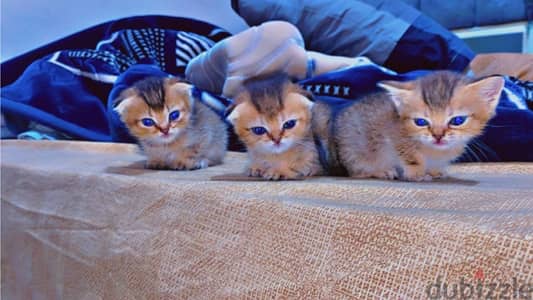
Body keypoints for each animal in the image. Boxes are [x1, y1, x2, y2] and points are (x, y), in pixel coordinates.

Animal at [312, 71, 502, 182]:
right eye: (421, 122)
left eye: (457, 120)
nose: (438, 136)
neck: (434, 151)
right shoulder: (393, 135)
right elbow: (409, 155)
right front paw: (416, 173)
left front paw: (434, 171)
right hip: (355, 152)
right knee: (356, 171)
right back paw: (380, 171)